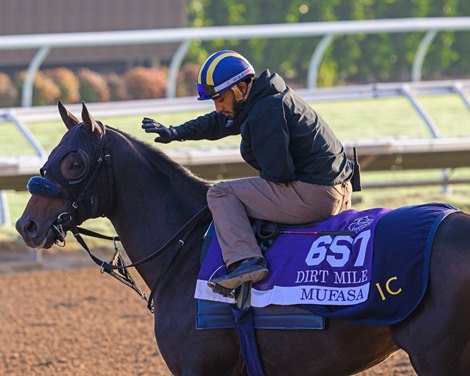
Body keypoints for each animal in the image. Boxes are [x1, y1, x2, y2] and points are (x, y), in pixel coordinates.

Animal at [15, 101, 470, 374]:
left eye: (74, 162)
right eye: (52, 153)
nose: (26, 226)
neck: (186, 251)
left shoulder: (201, 367)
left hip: (436, 354)